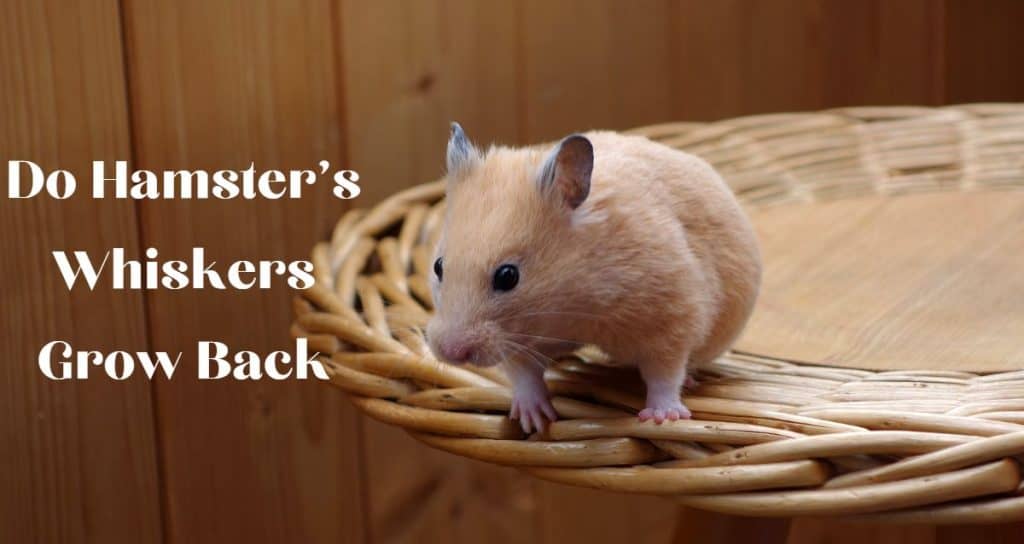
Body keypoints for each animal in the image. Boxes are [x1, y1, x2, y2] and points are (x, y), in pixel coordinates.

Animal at [426, 123, 761, 433]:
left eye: (508, 276)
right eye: (438, 266)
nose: (451, 353)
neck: (571, 304)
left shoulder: (673, 316)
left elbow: (665, 372)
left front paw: (661, 418)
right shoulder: (518, 341)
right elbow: (524, 374)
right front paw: (534, 420)